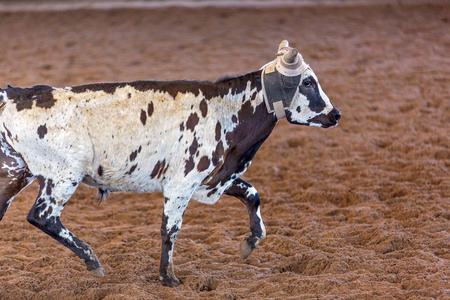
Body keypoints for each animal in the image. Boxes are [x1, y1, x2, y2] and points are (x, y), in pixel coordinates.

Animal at [0, 39, 338, 286]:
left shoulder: (209, 180)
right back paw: (92, 261)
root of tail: (17, 94)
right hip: (63, 176)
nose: (335, 114)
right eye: (308, 83)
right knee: (43, 216)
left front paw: (250, 242)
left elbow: (252, 194)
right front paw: (169, 277)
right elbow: (170, 229)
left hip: (14, 173)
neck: (225, 110)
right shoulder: (182, 184)